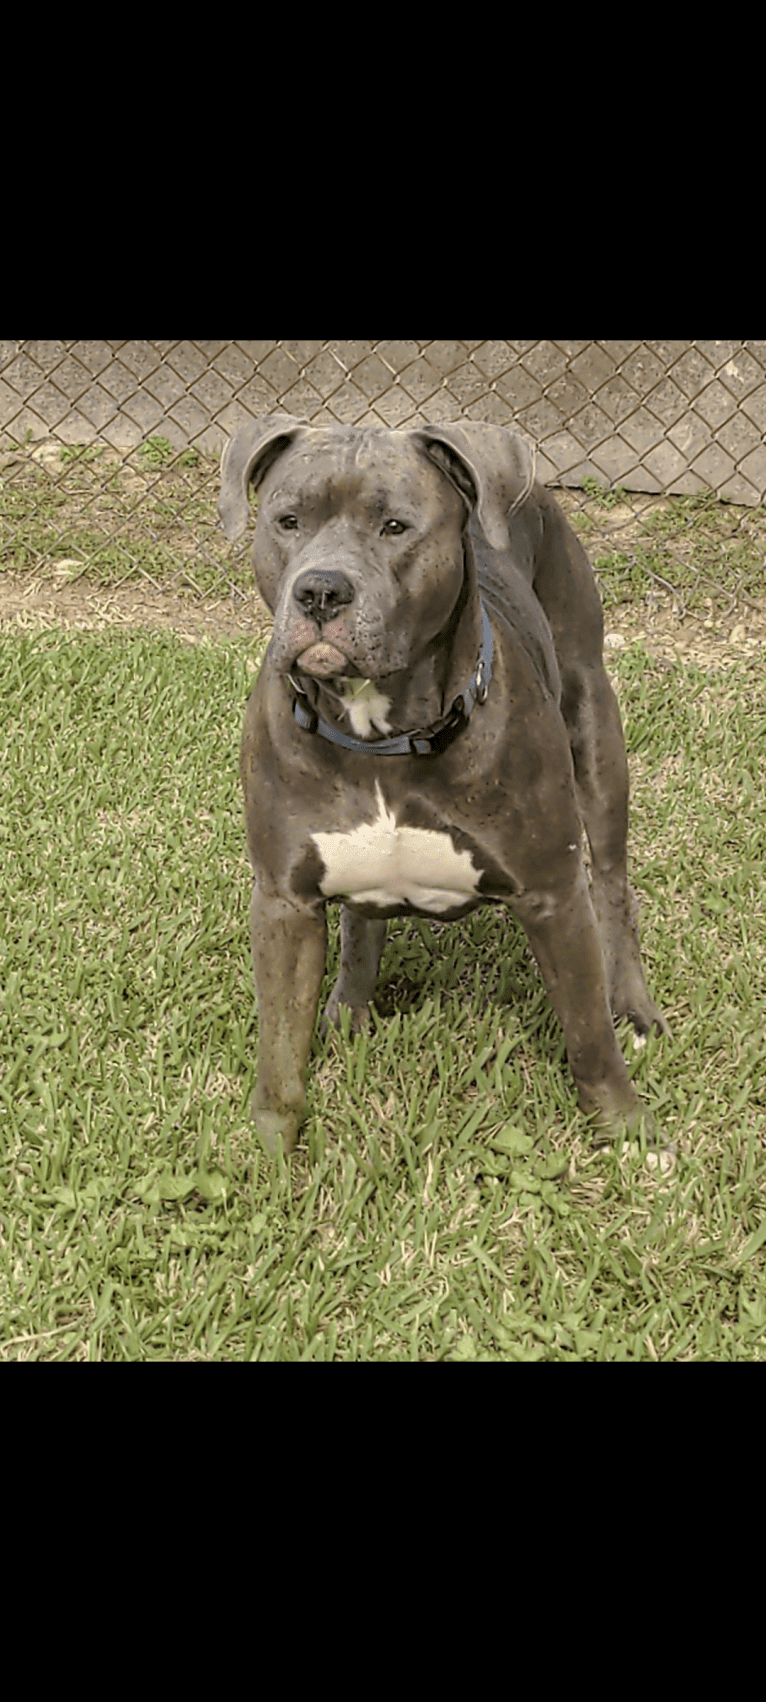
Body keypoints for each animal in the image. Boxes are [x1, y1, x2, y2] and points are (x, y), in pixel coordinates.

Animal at [217, 415, 667, 1157]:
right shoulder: (284, 902)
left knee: (613, 886)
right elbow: (279, 1053)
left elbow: (587, 1034)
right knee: (361, 923)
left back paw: (632, 1003)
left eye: (396, 526)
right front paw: (269, 1153)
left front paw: (624, 1125)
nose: (320, 590)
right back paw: (347, 1008)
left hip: (597, 730)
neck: (381, 737)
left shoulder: (553, 894)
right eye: (288, 520)